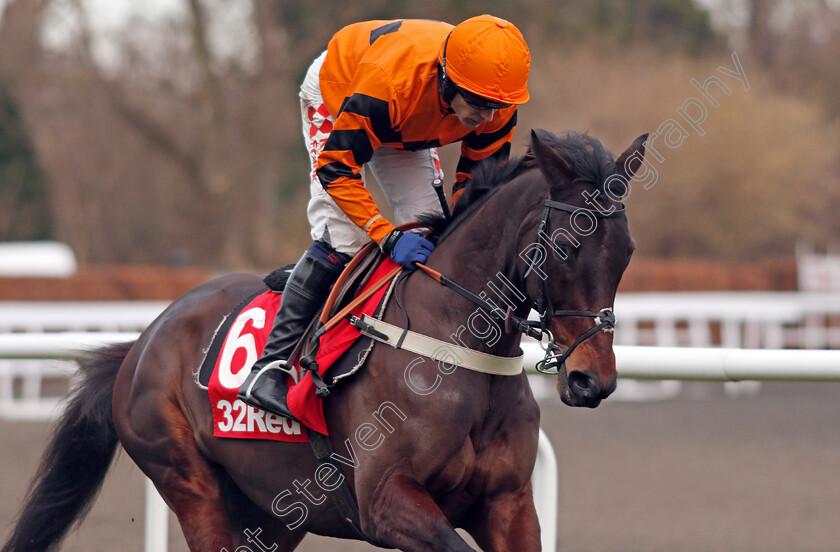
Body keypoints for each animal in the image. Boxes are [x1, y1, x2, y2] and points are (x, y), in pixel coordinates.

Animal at [0, 129, 648, 552]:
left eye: (626, 252)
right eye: (567, 244)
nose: (592, 379)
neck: (454, 348)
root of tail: (139, 343)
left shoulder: (510, 504)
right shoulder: (386, 502)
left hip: (273, 511)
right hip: (186, 479)